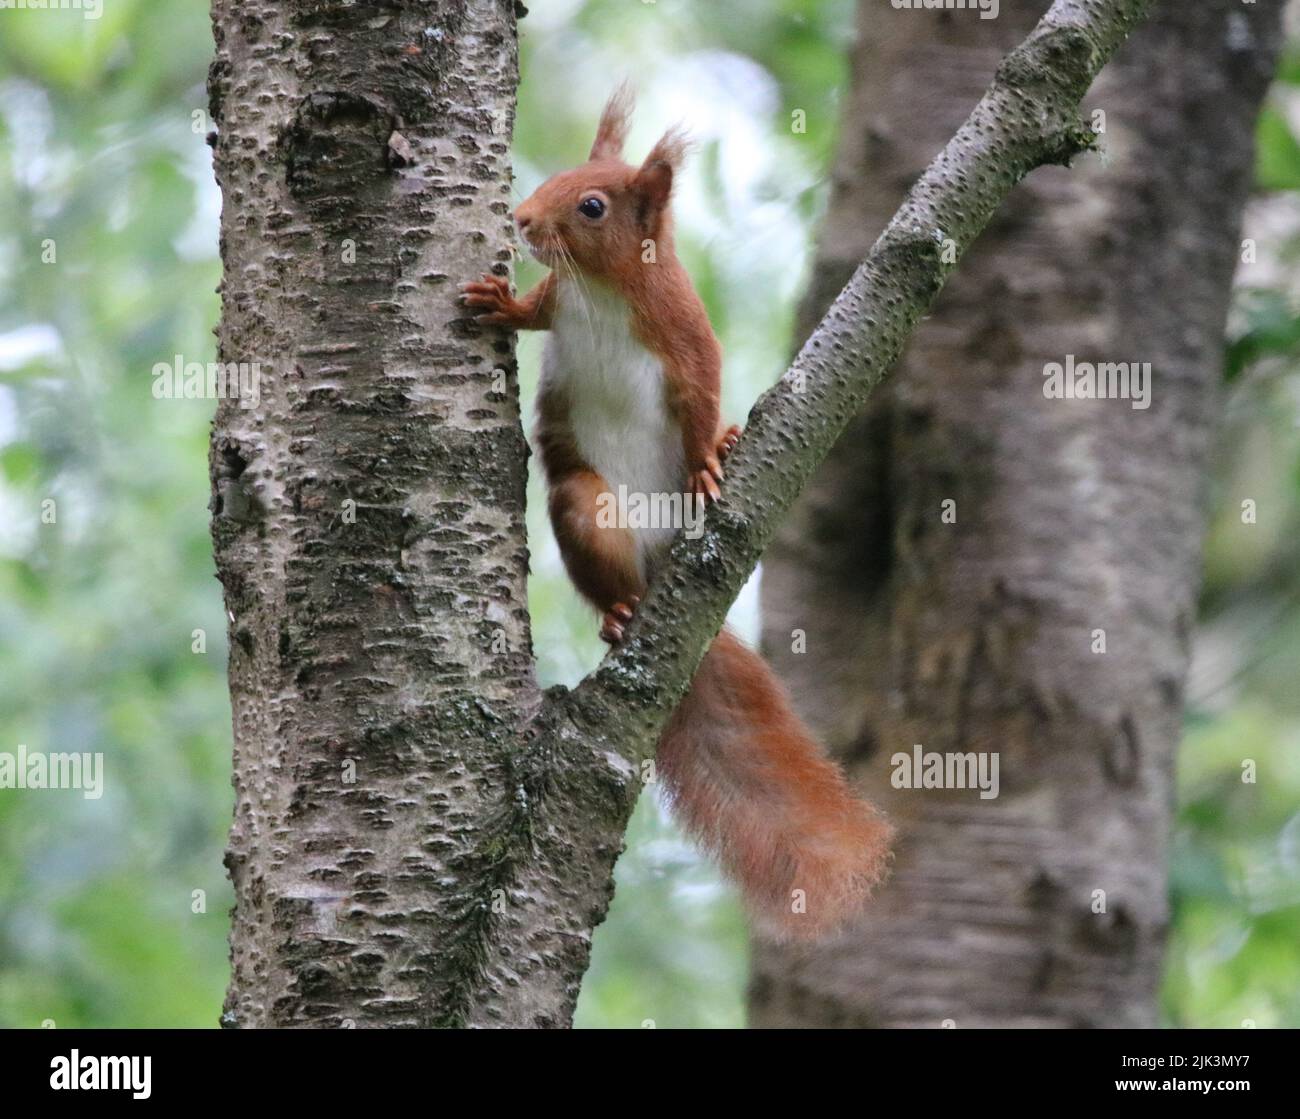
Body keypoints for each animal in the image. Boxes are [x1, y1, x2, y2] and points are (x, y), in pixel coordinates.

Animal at [460, 89, 894, 935]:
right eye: (560, 177)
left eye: (592, 205)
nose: (523, 219)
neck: (604, 292)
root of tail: (666, 567)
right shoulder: (563, 303)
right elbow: (535, 313)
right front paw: (497, 302)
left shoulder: (685, 336)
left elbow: (701, 395)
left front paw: (707, 459)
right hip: (590, 509)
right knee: (601, 558)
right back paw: (620, 615)